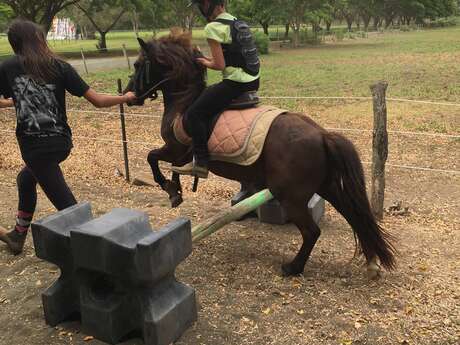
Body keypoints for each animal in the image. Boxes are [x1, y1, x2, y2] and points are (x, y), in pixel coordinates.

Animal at [126, 33, 396, 276]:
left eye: (138, 65)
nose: (129, 96)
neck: (184, 102)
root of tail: (321, 135)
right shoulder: (180, 156)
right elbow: (169, 167)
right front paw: (176, 191)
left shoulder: (176, 149)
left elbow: (152, 158)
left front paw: (170, 190)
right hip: (326, 187)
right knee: (356, 217)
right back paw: (372, 262)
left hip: (291, 196)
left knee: (313, 231)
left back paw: (293, 268)